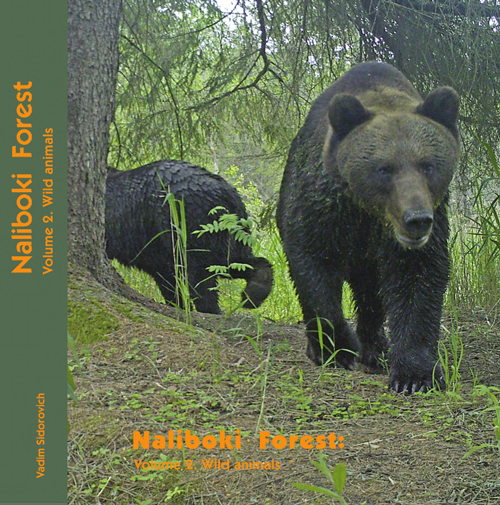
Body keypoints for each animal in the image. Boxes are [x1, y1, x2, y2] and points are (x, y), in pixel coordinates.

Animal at [106, 160, 273, 314]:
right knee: (234, 261)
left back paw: (213, 309)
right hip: (223, 233)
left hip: (188, 229)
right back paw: (255, 292)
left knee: (201, 279)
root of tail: (226, 192)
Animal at [276, 61, 460, 394]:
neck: (369, 212)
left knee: (371, 296)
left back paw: (376, 347)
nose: (416, 219)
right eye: (384, 168)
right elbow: (313, 265)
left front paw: (415, 374)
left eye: (428, 165)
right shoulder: (322, 207)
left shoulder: (424, 227)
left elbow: (417, 278)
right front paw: (335, 348)